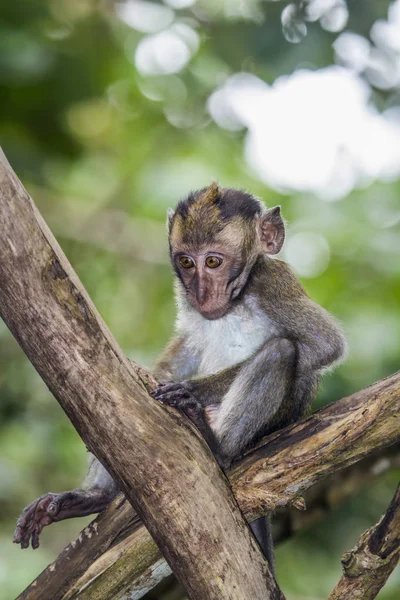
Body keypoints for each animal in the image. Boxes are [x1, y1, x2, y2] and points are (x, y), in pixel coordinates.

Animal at [13, 183, 346, 572]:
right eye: (186, 262)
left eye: (213, 262)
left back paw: (218, 448)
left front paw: (190, 391)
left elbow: (323, 346)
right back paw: (96, 496)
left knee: (281, 352)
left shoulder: (272, 283)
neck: (236, 300)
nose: (200, 292)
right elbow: (185, 347)